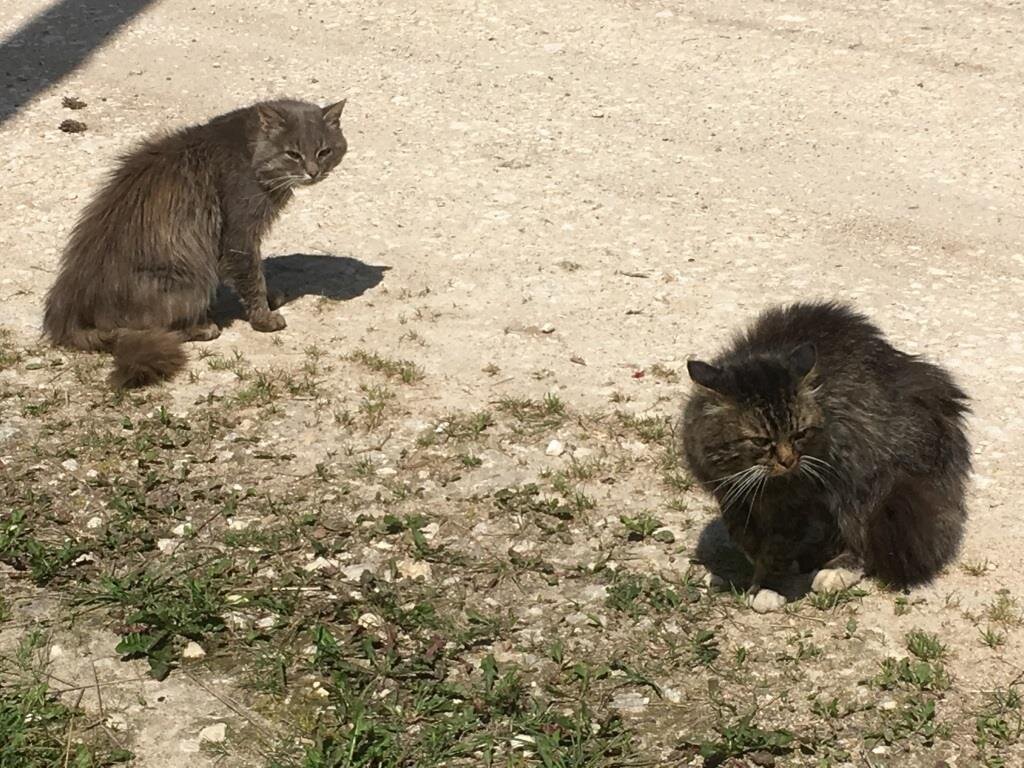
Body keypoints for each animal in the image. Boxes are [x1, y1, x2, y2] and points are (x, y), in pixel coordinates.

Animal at [43, 99, 348, 387]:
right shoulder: (239, 236)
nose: (313, 172)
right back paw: (204, 327)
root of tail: (67, 313)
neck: (249, 151)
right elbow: (251, 278)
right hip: (191, 281)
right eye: (293, 154)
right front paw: (264, 318)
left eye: (324, 151)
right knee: (155, 329)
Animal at [679, 303, 966, 598]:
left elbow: (781, 542)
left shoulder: (809, 497)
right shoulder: (727, 491)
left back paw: (835, 570)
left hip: (865, 475)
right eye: (761, 441)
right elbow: (742, 532)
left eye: (799, 434)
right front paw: (758, 559)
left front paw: (769, 578)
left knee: (861, 535)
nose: (788, 460)